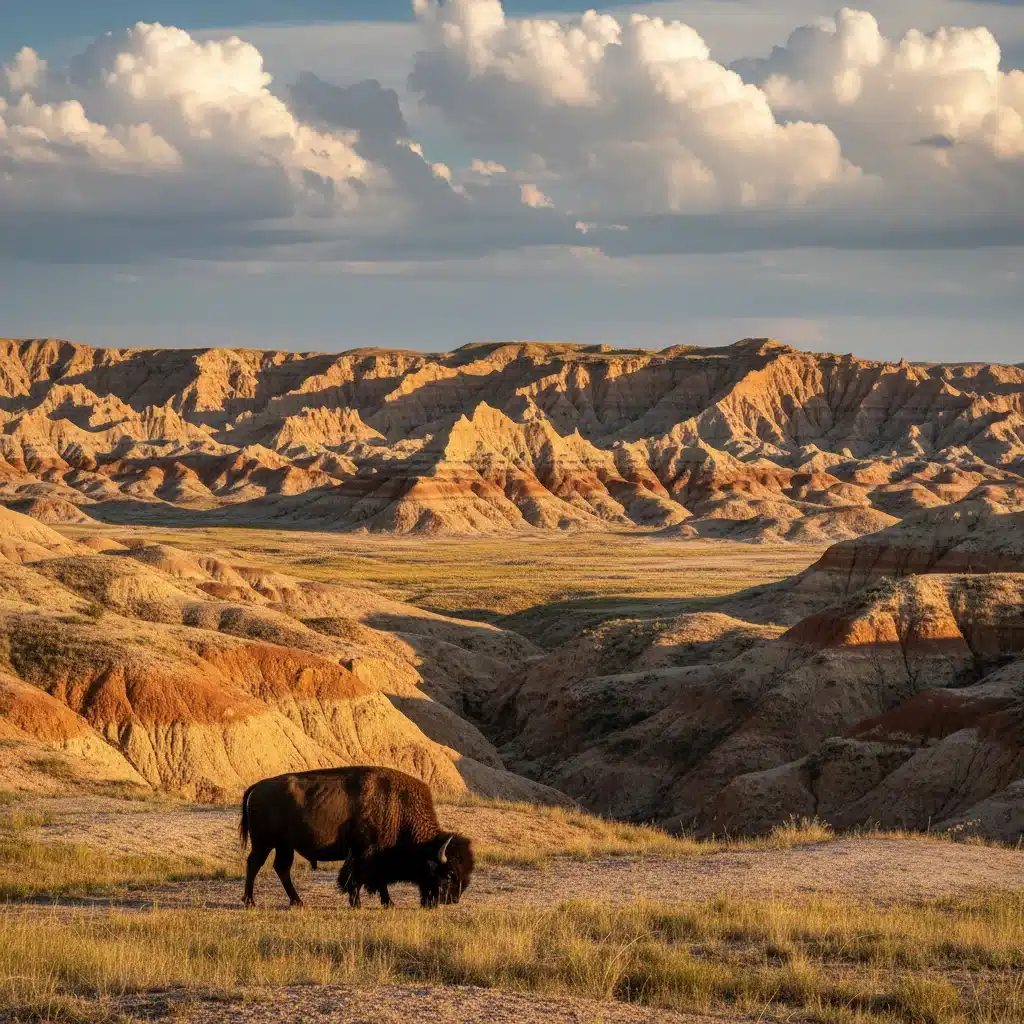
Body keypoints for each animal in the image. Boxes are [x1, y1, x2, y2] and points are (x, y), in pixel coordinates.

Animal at [239, 765, 474, 909]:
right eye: (449, 874)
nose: (452, 899)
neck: (399, 809)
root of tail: (258, 786)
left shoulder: (376, 857)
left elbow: (377, 880)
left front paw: (387, 903)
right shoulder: (364, 854)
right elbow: (357, 878)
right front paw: (359, 903)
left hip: (284, 845)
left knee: (281, 868)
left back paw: (297, 902)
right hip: (264, 842)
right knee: (254, 864)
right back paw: (250, 901)